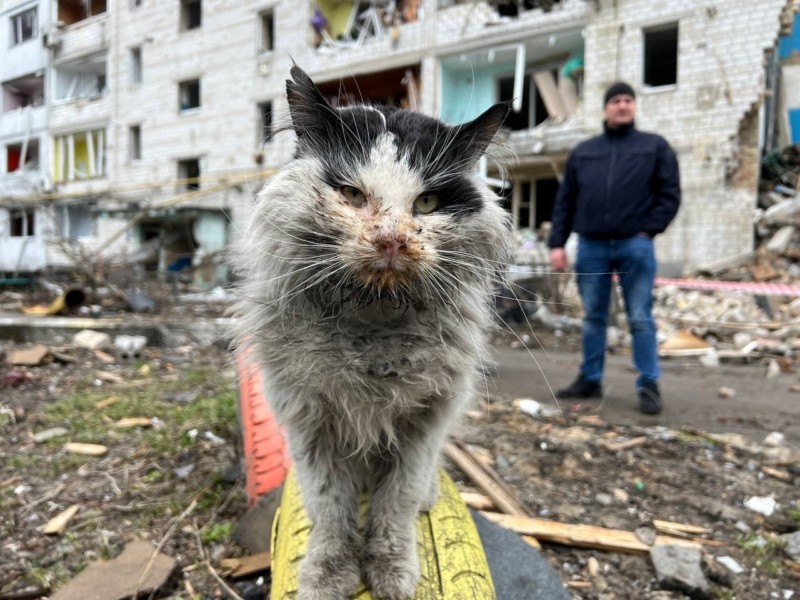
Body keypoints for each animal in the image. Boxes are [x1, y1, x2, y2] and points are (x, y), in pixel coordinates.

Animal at [231, 65, 512, 600]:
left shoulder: (424, 424)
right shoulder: (310, 425)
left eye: (427, 202)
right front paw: (328, 575)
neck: (372, 334)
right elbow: (329, 511)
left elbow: (395, 505)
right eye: (351, 195)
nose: (392, 240)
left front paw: (392, 571)